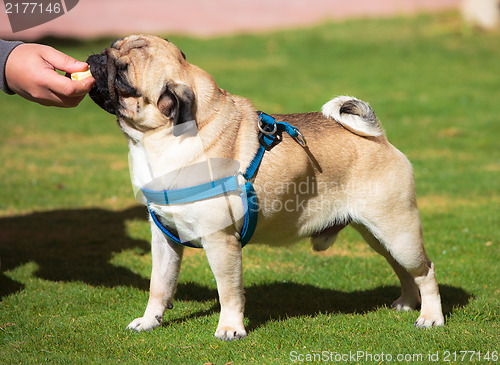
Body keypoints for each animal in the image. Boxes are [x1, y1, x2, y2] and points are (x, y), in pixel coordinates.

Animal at [87, 35, 446, 340]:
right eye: (111, 47)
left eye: (123, 78)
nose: (97, 58)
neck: (158, 142)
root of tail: (379, 137)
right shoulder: (165, 238)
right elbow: (159, 285)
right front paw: (150, 321)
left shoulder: (220, 242)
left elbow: (229, 291)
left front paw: (230, 328)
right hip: (378, 235)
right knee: (403, 270)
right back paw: (406, 303)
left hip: (397, 231)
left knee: (425, 271)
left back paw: (430, 317)